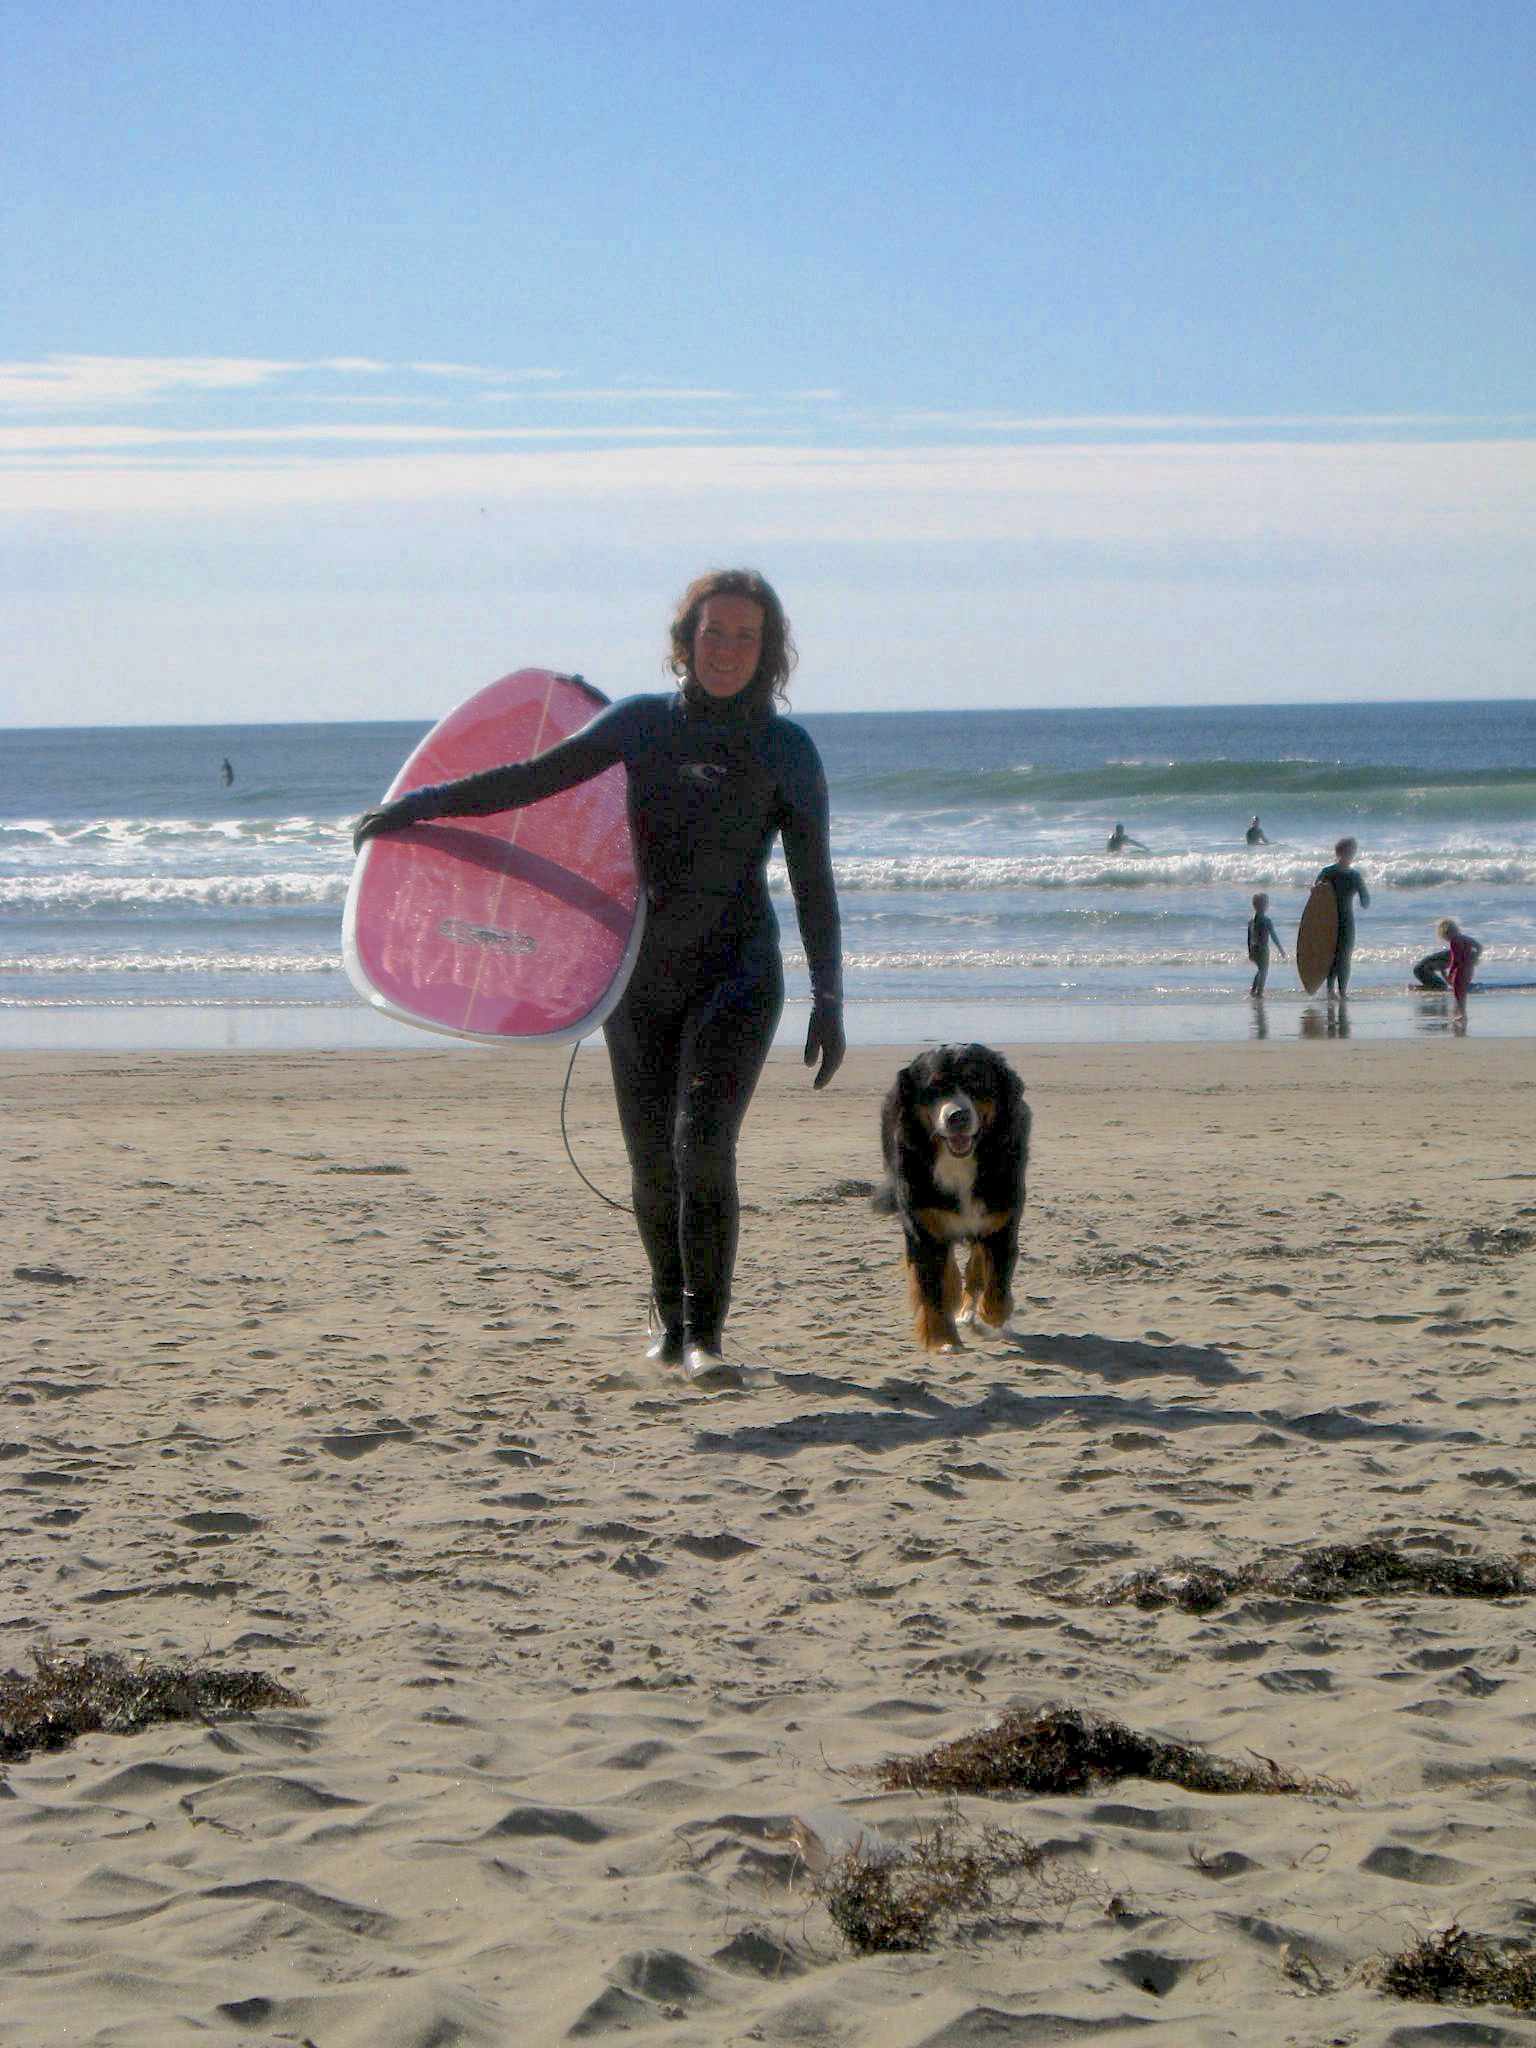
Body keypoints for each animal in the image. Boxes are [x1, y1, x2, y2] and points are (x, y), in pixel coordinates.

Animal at [876, 1048, 1036, 1351]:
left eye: (976, 1083)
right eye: (934, 1087)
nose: (957, 1117)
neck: (959, 1163)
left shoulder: (1001, 1222)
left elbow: (997, 1279)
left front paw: (994, 1313)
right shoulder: (922, 1224)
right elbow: (933, 1290)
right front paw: (943, 1340)